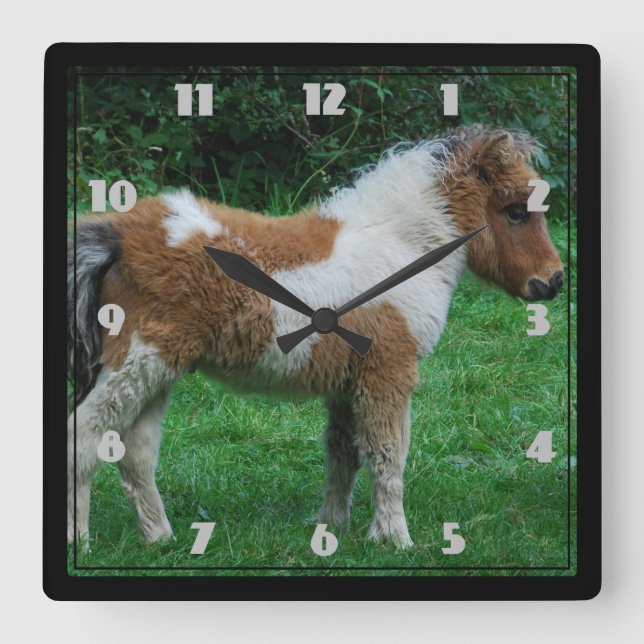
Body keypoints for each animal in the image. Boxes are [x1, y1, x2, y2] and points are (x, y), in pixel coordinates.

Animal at [68, 125, 564, 549]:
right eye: (516, 211)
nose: (552, 281)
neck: (404, 248)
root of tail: (119, 236)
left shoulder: (347, 383)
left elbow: (344, 453)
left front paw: (332, 528)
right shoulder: (389, 372)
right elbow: (388, 455)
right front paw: (395, 539)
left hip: (159, 370)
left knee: (136, 454)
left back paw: (162, 539)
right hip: (139, 361)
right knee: (86, 438)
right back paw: (83, 542)